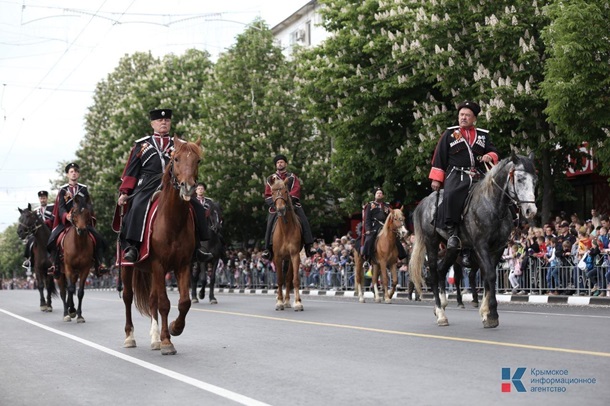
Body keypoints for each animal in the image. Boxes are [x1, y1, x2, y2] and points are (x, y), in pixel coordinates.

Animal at [121, 136, 200, 356]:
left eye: (198, 160)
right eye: (176, 159)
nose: (188, 187)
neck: (173, 222)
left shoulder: (183, 265)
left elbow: (184, 302)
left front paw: (175, 328)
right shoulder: (158, 265)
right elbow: (165, 303)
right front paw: (167, 341)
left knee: (152, 299)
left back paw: (155, 338)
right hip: (127, 267)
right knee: (128, 297)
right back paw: (130, 337)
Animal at [268, 174, 302, 310]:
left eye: (286, 191)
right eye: (272, 192)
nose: (281, 209)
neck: (286, 230)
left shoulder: (295, 255)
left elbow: (294, 279)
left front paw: (298, 303)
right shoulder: (277, 257)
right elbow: (279, 279)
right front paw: (279, 302)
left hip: (289, 259)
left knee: (288, 278)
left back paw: (287, 301)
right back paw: (282, 300)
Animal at [406, 154, 536, 328]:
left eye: (534, 180)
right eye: (520, 179)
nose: (531, 211)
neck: (493, 206)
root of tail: (425, 201)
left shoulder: (497, 248)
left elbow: (487, 278)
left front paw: (485, 313)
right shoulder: (481, 246)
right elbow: (490, 275)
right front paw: (492, 315)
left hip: (452, 250)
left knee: (441, 270)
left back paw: (443, 304)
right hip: (431, 243)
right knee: (433, 273)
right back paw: (440, 313)